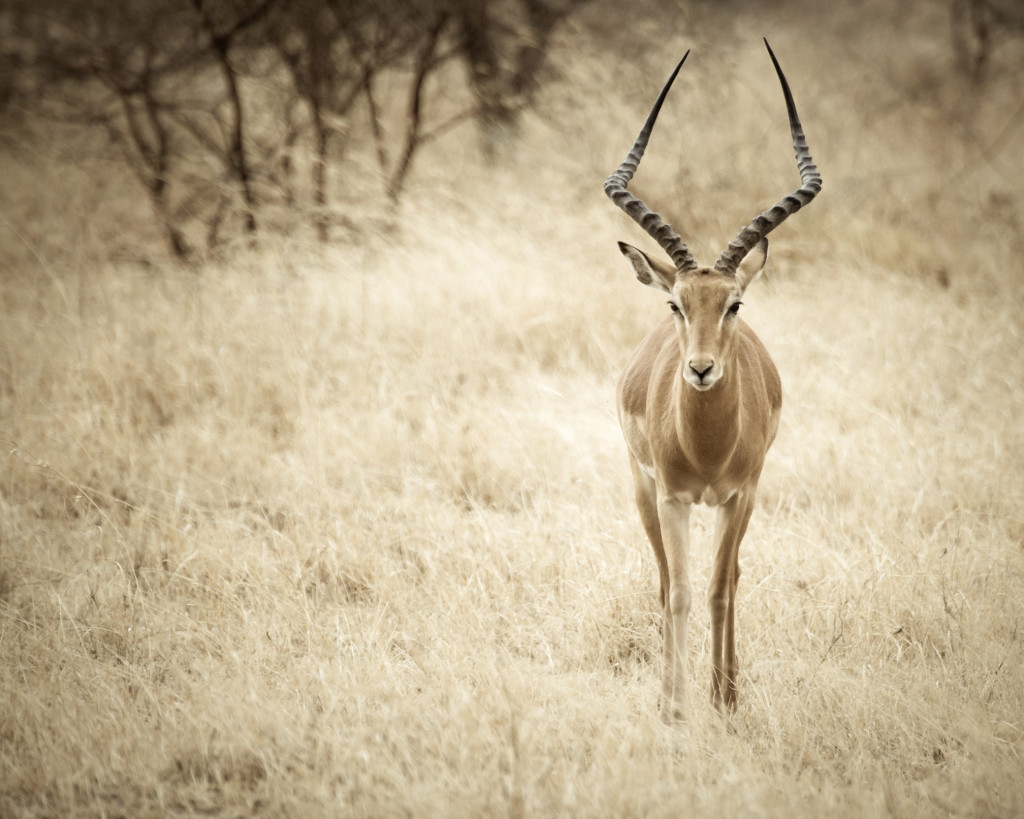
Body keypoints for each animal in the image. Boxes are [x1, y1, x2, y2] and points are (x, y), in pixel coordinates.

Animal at [606, 41, 815, 724]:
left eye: (734, 304)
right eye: (676, 303)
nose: (700, 369)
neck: (705, 447)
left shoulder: (739, 494)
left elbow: (722, 587)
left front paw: (723, 702)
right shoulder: (672, 497)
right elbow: (680, 592)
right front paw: (674, 709)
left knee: (734, 576)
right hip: (642, 490)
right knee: (664, 580)